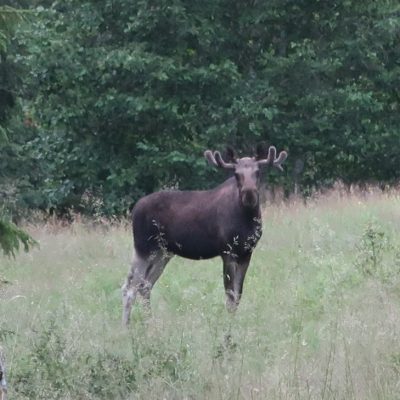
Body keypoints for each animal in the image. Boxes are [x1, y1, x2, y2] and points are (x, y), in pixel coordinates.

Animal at [122, 144, 288, 324]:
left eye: (258, 172)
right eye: (236, 174)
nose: (249, 193)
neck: (248, 219)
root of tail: (134, 210)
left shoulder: (246, 252)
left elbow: (238, 295)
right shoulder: (227, 251)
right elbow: (230, 295)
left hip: (163, 253)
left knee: (145, 285)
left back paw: (151, 323)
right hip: (144, 248)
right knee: (129, 287)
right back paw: (126, 326)